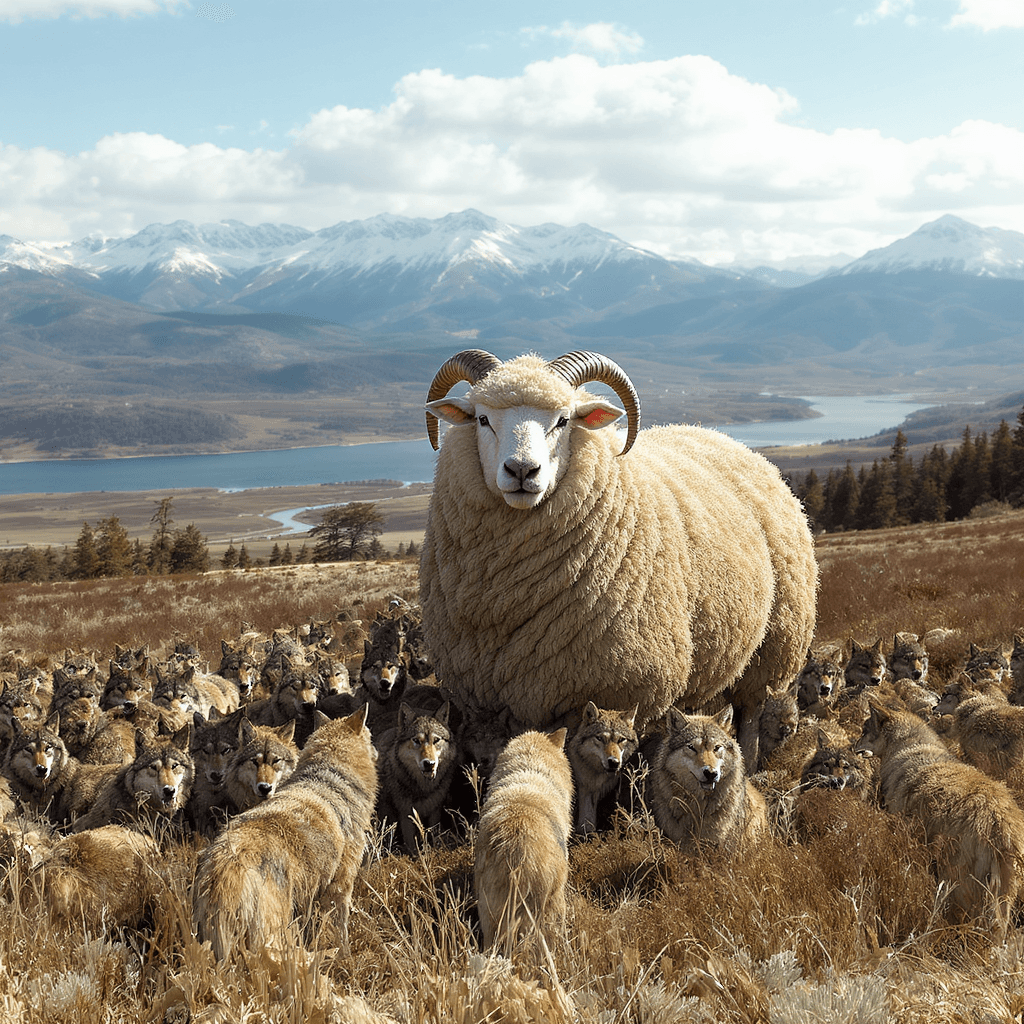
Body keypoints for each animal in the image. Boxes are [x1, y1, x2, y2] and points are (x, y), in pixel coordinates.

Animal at [192, 706, 378, 960]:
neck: (329, 776)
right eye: (370, 736)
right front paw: (346, 958)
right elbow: (342, 934)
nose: (377, 752)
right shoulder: (339, 889)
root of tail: (227, 864)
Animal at [376, 701, 459, 853]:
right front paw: (415, 855)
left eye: (436, 740)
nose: (429, 764)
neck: (424, 788)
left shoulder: (435, 809)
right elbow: (411, 844)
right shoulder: (406, 814)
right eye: (416, 741)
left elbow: (434, 833)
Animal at [419, 349, 818, 765]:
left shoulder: (617, 691)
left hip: (775, 645)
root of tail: (720, 436)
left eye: (564, 420)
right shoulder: (493, 700)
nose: (522, 470)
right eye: (482, 419)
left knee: (752, 714)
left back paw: (750, 765)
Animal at [566, 701, 638, 835]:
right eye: (600, 738)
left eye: (621, 739)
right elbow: (586, 818)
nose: (614, 762)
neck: (597, 774)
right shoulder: (585, 787)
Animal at [856, 702, 1024, 939]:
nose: (854, 747)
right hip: (1003, 891)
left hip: (957, 882)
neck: (907, 747)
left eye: (864, 730)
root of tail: (1000, 828)